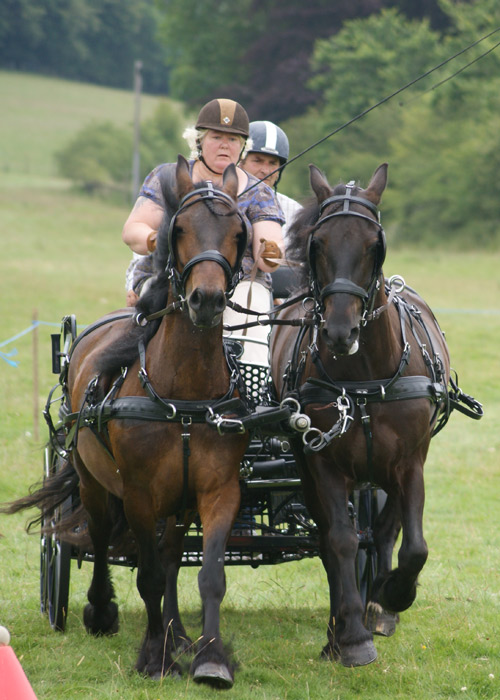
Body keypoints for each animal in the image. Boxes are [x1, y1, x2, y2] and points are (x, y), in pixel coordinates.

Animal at [270, 163, 454, 668]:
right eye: (318, 243)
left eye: (376, 244)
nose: (339, 331)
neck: (366, 376)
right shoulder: (324, 462)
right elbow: (340, 540)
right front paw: (351, 635)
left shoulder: (411, 460)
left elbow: (412, 544)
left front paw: (389, 598)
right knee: (333, 539)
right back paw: (341, 628)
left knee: (386, 530)